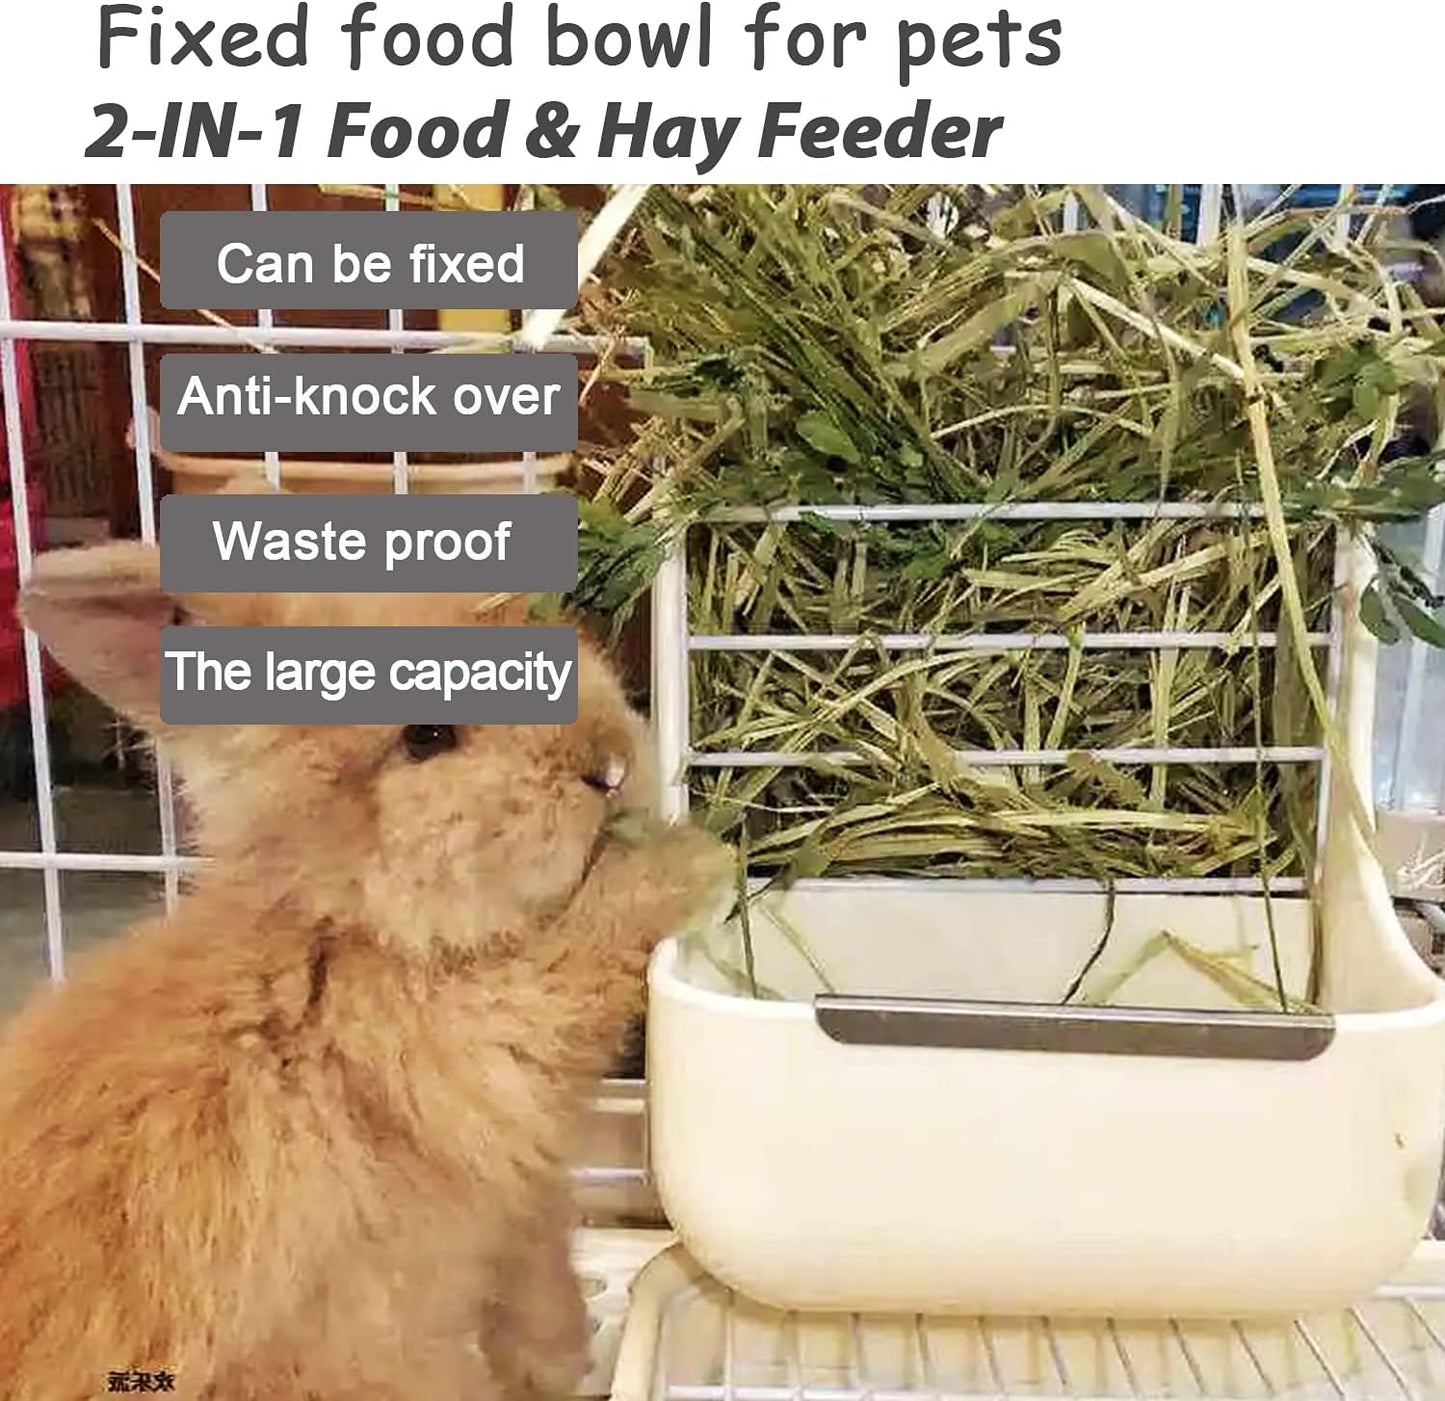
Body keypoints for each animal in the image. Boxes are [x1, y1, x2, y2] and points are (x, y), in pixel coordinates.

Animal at [0, 533, 732, 1401]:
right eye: (426, 736)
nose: (611, 764)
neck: (350, 930)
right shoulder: (485, 1036)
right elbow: (582, 949)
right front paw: (695, 860)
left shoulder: (520, 1216)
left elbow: (534, 1296)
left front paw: (562, 1359)